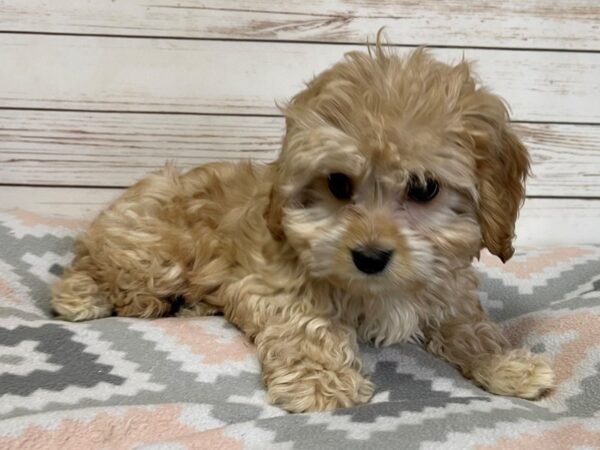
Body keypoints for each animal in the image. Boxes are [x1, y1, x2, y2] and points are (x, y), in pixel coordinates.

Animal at [51, 44, 552, 412]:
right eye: (338, 183)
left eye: (424, 188)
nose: (369, 257)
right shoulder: (270, 283)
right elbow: (307, 325)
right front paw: (320, 383)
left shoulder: (446, 293)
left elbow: (470, 329)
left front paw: (509, 365)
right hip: (155, 252)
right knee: (96, 270)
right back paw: (84, 296)